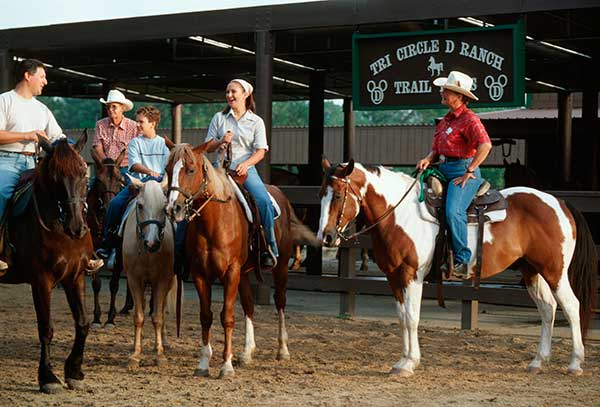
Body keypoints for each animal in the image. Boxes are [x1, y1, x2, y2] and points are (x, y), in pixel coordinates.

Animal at [0, 133, 94, 392]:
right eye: (54, 176)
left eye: (83, 172)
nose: (77, 227)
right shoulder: (41, 280)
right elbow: (46, 328)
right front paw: (48, 378)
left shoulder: (75, 277)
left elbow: (83, 322)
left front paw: (74, 371)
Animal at [122, 177, 176, 372]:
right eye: (140, 205)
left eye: (164, 207)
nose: (152, 243)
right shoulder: (134, 280)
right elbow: (139, 317)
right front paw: (135, 355)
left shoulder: (162, 280)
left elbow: (158, 317)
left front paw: (159, 354)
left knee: (161, 309)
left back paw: (164, 342)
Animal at [164, 143, 318, 380]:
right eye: (168, 169)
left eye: (190, 169)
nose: (174, 208)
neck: (214, 222)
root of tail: (280, 194)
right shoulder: (201, 274)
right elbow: (206, 316)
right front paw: (203, 363)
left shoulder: (230, 272)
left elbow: (227, 317)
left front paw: (226, 366)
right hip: (244, 273)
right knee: (249, 305)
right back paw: (246, 353)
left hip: (280, 266)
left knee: (280, 301)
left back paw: (282, 350)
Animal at [316, 159, 596, 380]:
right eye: (320, 195)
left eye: (338, 196)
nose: (326, 237)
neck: (399, 215)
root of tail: (559, 202)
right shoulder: (394, 278)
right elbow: (402, 317)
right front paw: (402, 361)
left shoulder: (412, 276)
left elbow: (412, 317)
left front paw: (409, 364)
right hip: (532, 271)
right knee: (548, 308)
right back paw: (538, 362)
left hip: (555, 271)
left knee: (571, 306)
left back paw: (575, 363)